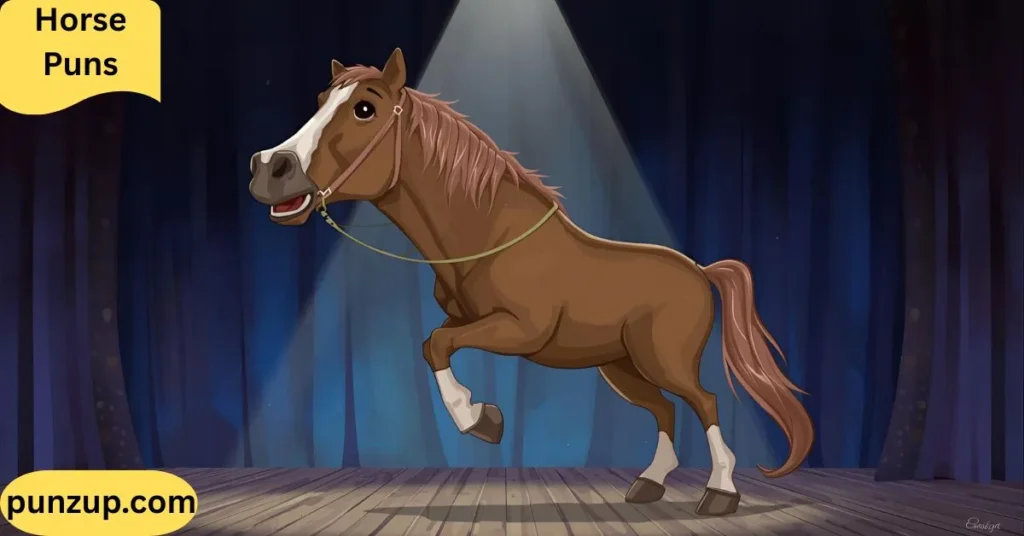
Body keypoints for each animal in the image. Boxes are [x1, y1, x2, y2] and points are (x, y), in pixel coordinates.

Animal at [248, 48, 814, 516]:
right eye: (321, 100)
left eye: (365, 108)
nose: (269, 169)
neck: (489, 235)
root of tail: (701, 271)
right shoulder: (469, 320)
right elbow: (434, 342)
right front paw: (484, 417)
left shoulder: (519, 331)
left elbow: (438, 344)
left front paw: (479, 420)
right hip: (621, 367)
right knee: (665, 409)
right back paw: (648, 485)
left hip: (663, 360)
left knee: (704, 402)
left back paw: (720, 494)